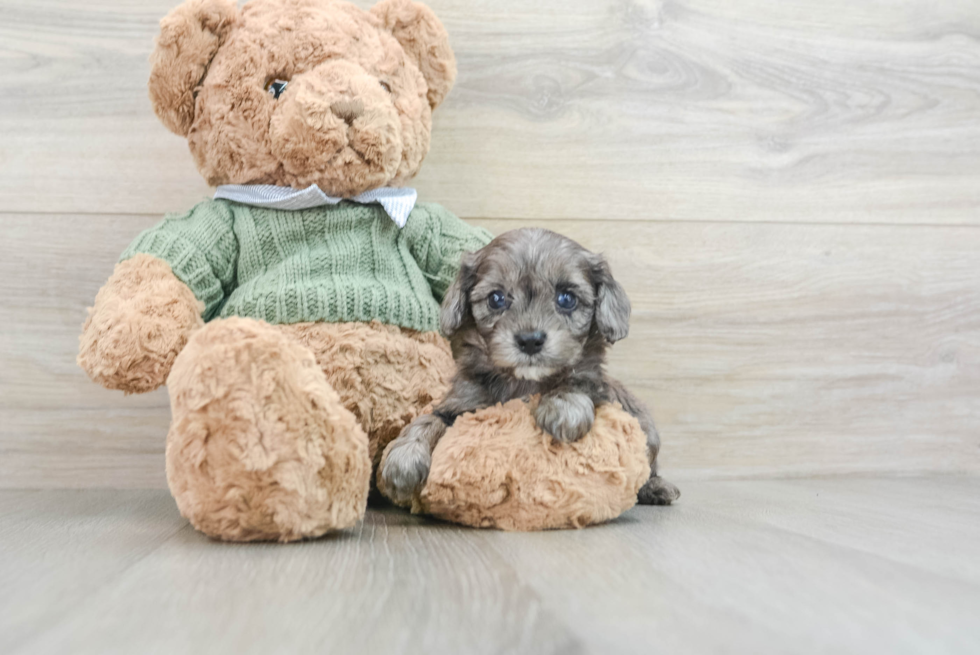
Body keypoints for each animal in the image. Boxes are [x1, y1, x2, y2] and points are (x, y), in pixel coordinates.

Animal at [382, 229, 680, 508]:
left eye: (567, 298)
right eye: (496, 298)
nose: (529, 340)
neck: (523, 381)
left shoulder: (598, 388)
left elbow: (575, 383)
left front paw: (563, 408)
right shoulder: (464, 404)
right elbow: (428, 419)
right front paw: (403, 458)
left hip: (647, 430)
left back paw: (657, 488)